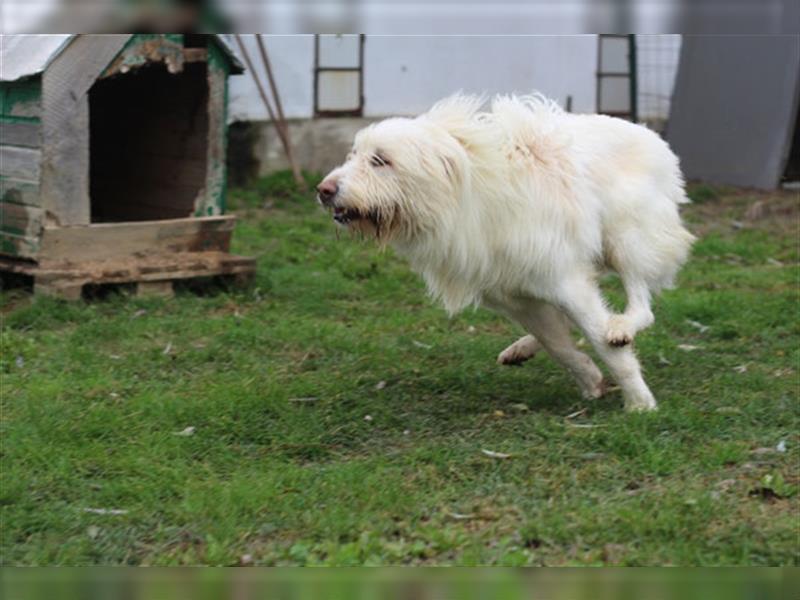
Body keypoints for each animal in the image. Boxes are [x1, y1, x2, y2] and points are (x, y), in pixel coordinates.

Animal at [318, 95, 692, 412]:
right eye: (353, 155)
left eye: (381, 160)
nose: (324, 190)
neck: (463, 192)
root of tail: (651, 135)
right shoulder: (516, 296)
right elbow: (558, 344)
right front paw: (590, 378)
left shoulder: (566, 282)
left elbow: (603, 345)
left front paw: (640, 403)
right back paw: (524, 347)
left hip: (626, 238)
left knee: (641, 305)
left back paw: (622, 327)